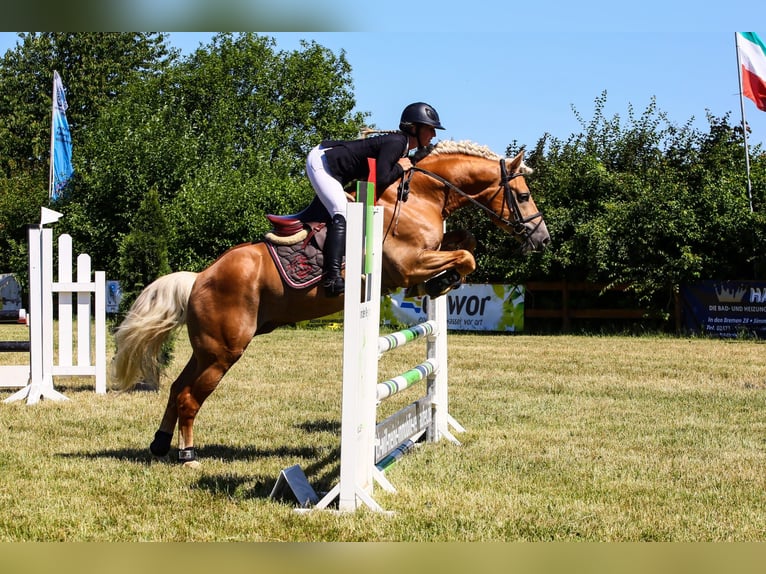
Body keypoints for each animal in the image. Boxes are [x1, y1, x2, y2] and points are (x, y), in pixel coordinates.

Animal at [111, 140, 548, 468]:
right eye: (523, 195)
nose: (541, 238)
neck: (418, 195)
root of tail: (199, 278)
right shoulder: (406, 264)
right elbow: (466, 257)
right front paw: (440, 283)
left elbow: (465, 245)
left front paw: (439, 283)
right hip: (224, 351)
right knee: (189, 397)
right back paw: (187, 455)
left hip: (207, 349)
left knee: (177, 389)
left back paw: (159, 445)